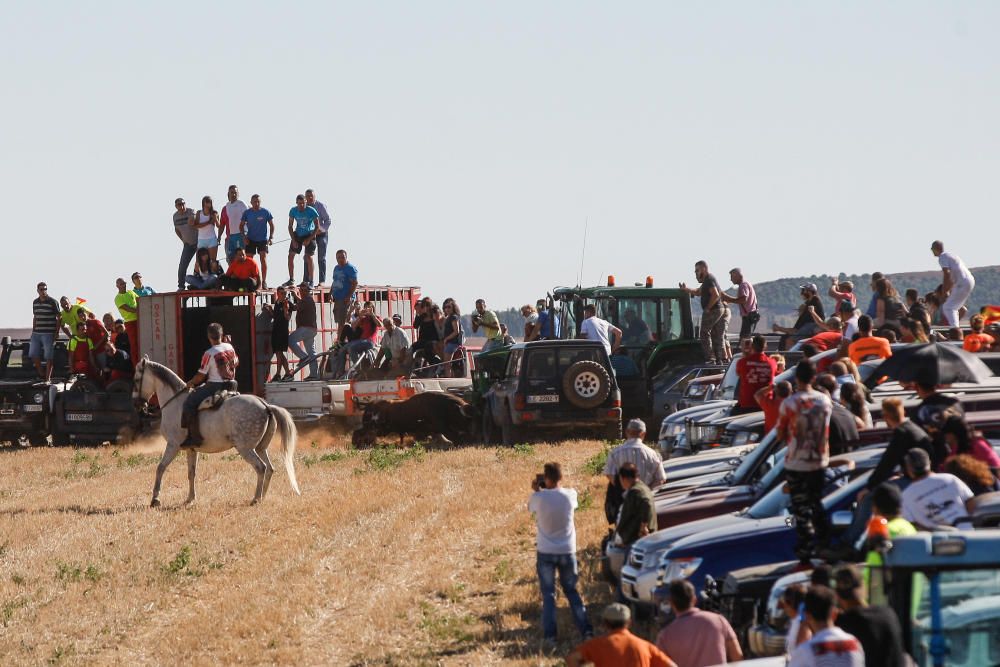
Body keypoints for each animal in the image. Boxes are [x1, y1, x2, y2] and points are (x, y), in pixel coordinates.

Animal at [135, 360, 302, 506]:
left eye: (136, 378)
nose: (138, 405)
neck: (175, 403)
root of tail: (266, 405)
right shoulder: (191, 449)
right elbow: (191, 473)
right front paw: (190, 499)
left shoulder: (172, 445)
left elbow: (160, 468)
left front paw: (155, 499)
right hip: (260, 448)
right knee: (270, 469)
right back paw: (262, 497)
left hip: (246, 449)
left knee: (261, 467)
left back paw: (255, 498)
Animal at [352, 392, 480, 448]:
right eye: (464, 418)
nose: (472, 434)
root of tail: (368, 404)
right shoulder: (442, 426)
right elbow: (451, 435)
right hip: (372, 427)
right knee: (358, 432)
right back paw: (357, 444)